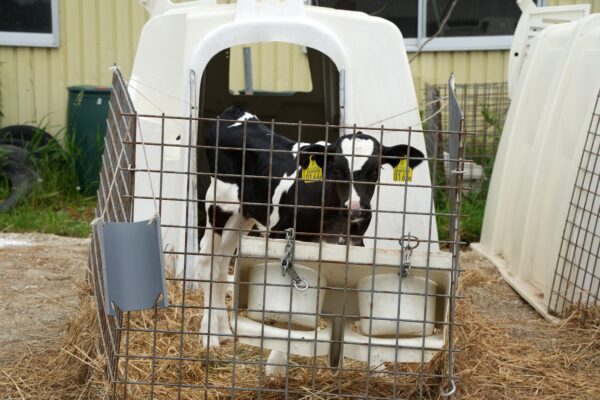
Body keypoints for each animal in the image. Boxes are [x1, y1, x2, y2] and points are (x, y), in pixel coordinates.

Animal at [195, 104, 424, 370]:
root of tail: (236, 111)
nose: (356, 208)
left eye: (375, 170)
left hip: (243, 215)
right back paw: (209, 336)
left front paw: (376, 366)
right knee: (209, 265)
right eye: (337, 170)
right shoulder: (280, 234)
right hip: (219, 204)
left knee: (222, 266)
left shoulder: (354, 241)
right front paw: (276, 363)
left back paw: (222, 331)